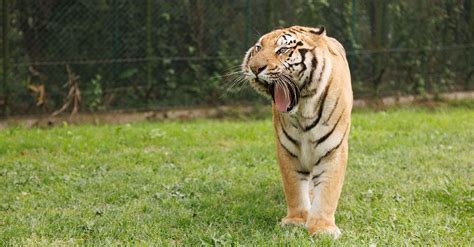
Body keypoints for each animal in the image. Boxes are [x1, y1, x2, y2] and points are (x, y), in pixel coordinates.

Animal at [241, 26, 352, 238]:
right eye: (258, 48)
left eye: (283, 50)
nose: (255, 68)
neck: (303, 112)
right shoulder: (287, 150)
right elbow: (294, 188)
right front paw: (296, 221)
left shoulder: (332, 149)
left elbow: (328, 190)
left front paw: (322, 228)